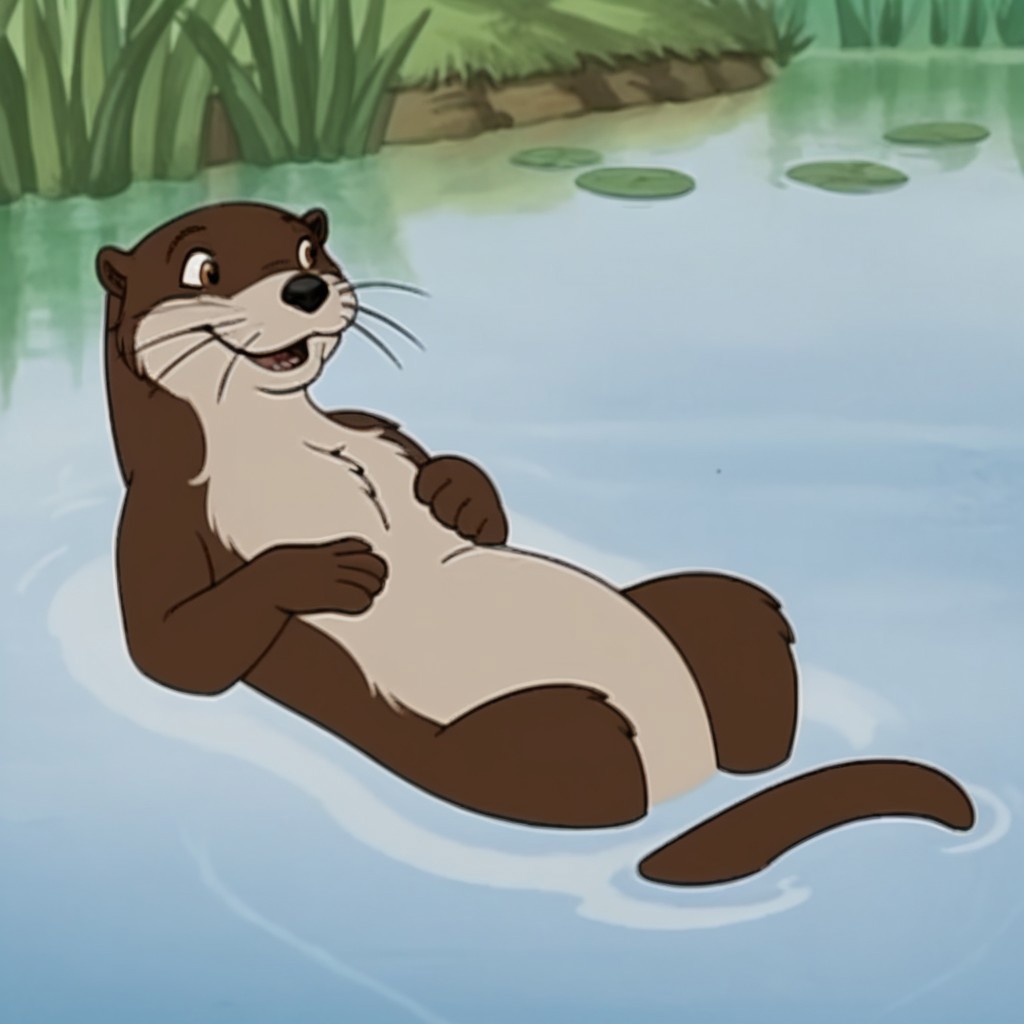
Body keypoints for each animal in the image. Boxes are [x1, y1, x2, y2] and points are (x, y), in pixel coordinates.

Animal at [95, 201, 974, 886]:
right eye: (204, 269)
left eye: (310, 252)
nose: (305, 288)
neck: (283, 442)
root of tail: (688, 772)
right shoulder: (160, 517)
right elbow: (172, 650)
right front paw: (329, 568)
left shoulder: (376, 428)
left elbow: (449, 476)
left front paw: (454, 493)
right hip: (509, 736)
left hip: (719, 617)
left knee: (736, 630)